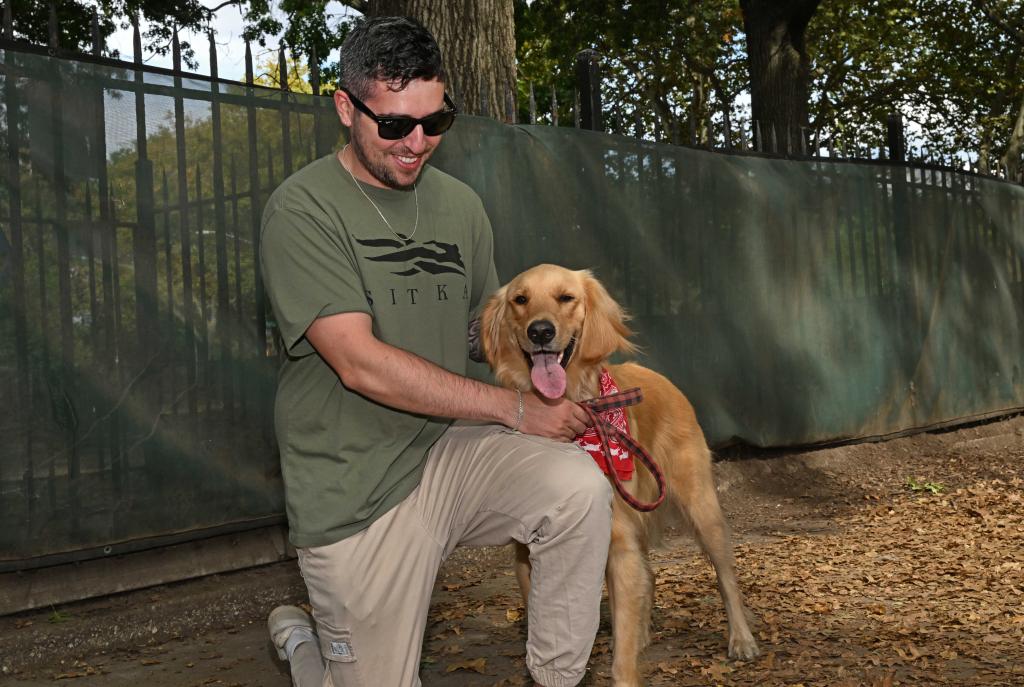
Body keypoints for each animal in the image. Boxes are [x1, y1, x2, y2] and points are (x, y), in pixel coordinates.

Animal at [481, 262, 761, 683]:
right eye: (520, 299)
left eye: (566, 297)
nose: (540, 331)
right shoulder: (529, 557)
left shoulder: (620, 544)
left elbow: (621, 656)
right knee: (649, 577)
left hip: (701, 508)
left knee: (726, 577)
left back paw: (741, 639)